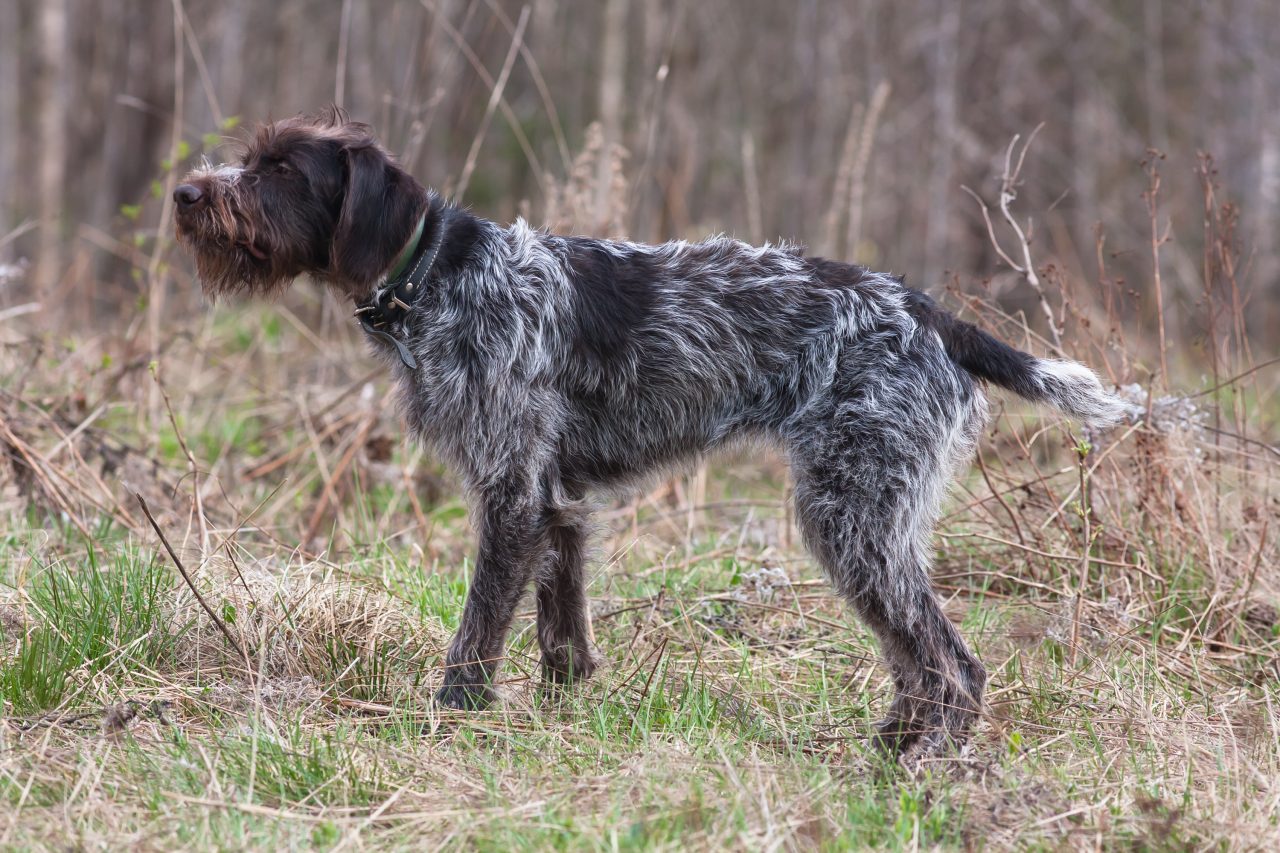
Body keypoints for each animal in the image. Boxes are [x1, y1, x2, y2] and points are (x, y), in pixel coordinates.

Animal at [175, 109, 1126, 753]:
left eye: (280, 169)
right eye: (251, 160)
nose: (185, 192)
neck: (438, 274)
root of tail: (928, 312)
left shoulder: (512, 495)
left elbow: (478, 629)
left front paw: (452, 716)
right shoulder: (556, 502)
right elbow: (562, 635)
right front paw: (559, 717)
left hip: (852, 514)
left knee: (951, 661)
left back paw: (925, 762)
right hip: (869, 519)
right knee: (921, 657)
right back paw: (894, 742)